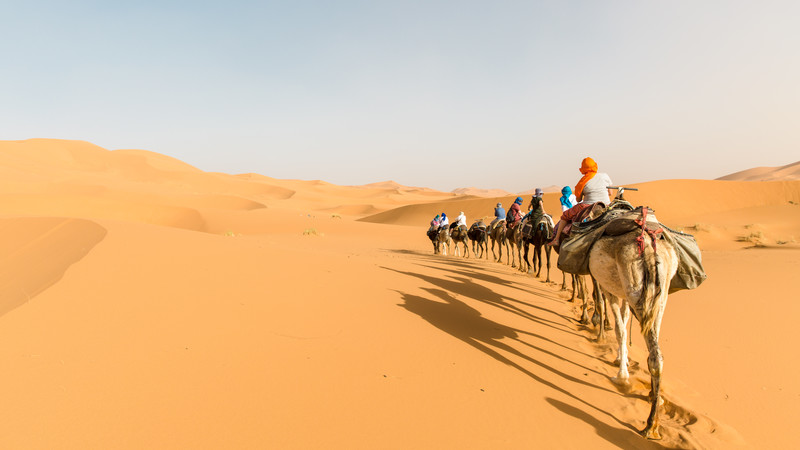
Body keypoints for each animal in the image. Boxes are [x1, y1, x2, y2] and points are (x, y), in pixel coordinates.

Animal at [588, 207, 678, 440]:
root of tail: (650, 250)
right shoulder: (624, 296)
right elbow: (623, 322)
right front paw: (623, 361)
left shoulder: (611, 290)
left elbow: (620, 329)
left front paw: (622, 374)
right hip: (660, 297)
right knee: (657, 354)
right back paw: (655, 405)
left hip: (634, 289)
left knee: (653, 353)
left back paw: (651, 424)